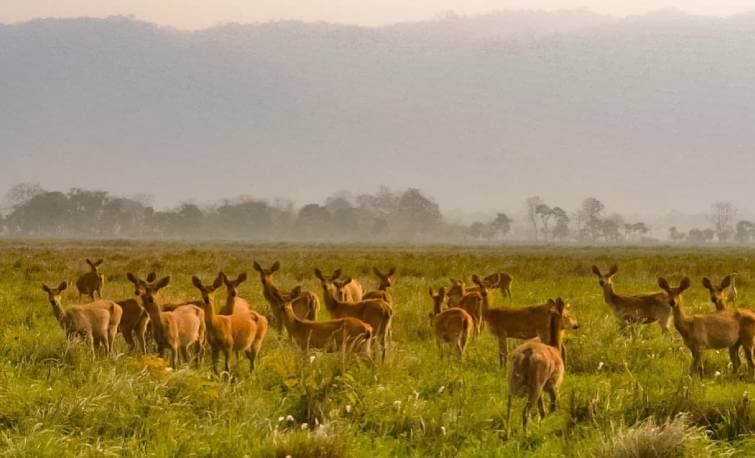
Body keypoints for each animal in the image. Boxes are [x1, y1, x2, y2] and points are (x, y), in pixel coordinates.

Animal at [508, 298, 568, 434]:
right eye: (565, 315)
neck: (555, 348)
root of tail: (527, 354)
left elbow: (543, 410)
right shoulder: (553, 385)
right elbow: (551, 408)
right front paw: (541, 425)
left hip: (514, 382)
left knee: (509, 407)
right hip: (536, 386)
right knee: (525, 411)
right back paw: (526, 433)